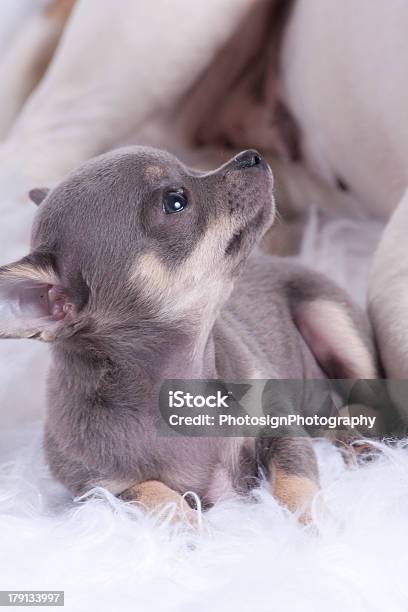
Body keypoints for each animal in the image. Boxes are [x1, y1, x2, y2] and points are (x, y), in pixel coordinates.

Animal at [0, 147, 376, 520]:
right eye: (175, 202)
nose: (251, 156)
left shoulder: (280, 425)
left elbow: (296, 483)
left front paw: (311, 526)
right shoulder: (102, 489)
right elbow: (158, 496)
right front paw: (193, 527)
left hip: (331, 318)